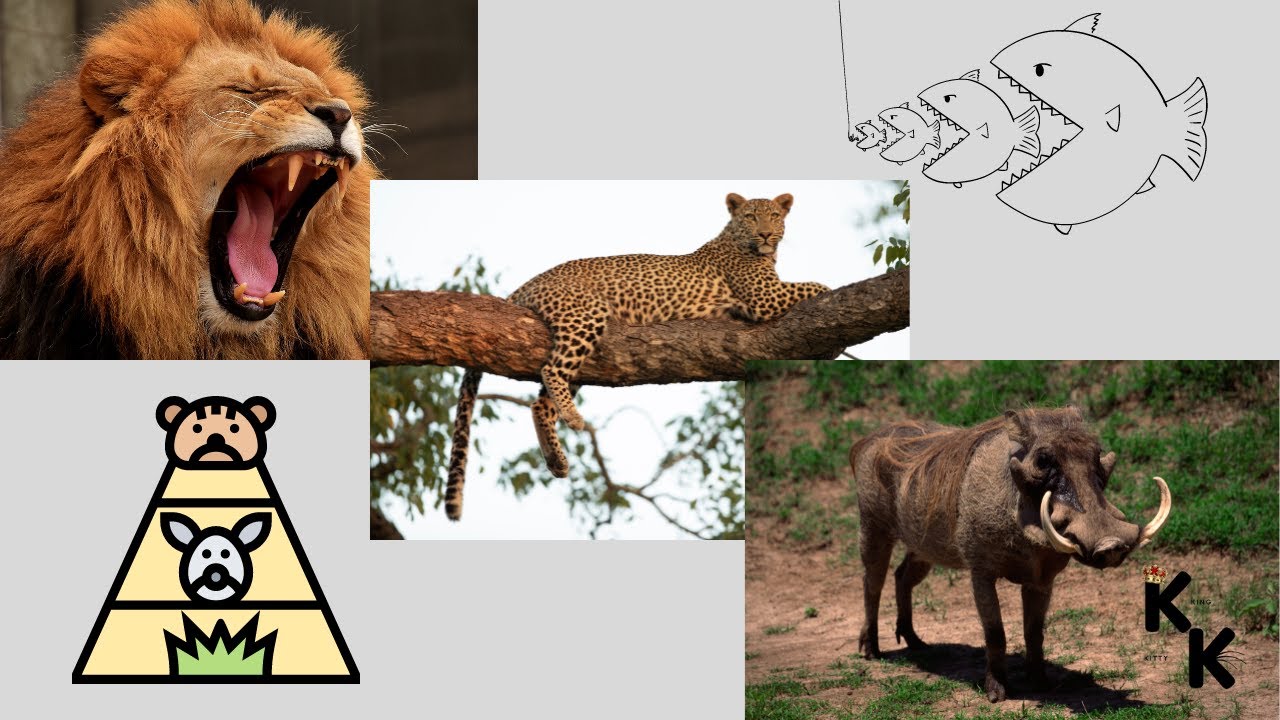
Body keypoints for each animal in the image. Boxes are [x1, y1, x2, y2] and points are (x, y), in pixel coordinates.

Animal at [443, 192, 831, 520]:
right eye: (751, 216)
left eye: (775, 216)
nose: (766, 234)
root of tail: (527, 284)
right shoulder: (765, 298)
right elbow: (817, 285)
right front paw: (831, 292)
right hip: (585, 315)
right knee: (551, 370)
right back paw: (573, 418)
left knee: (539, 402)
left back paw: (556, 459)